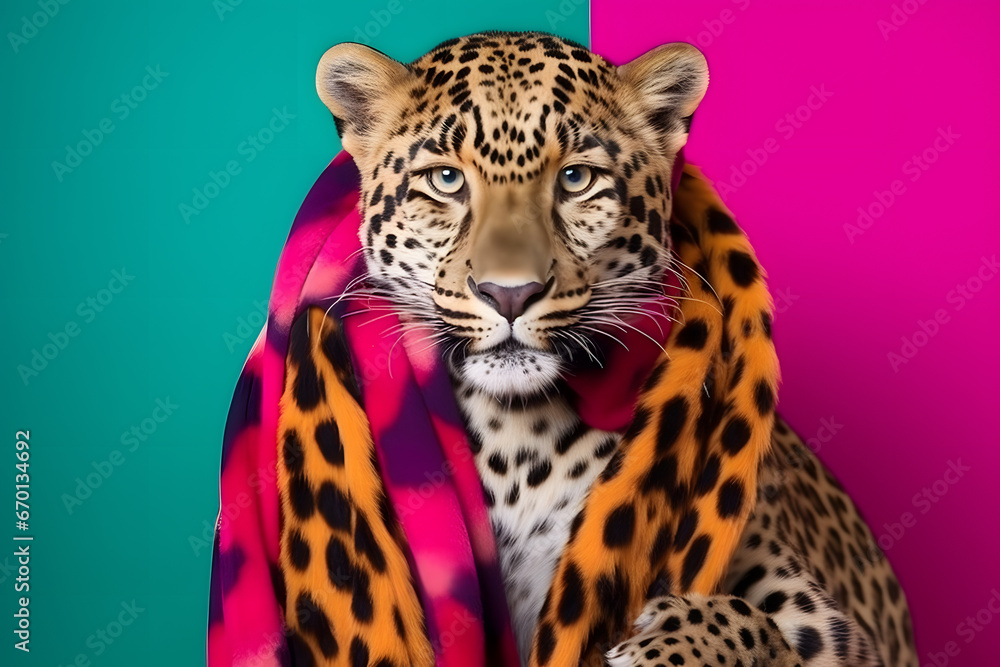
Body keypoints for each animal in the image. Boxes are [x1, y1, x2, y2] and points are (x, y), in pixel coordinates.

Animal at [273, 30, 917, 666]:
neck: (518, 441)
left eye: (576, 179)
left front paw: (669, 640)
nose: (510, 293)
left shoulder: (835, 629)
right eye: (446, 180)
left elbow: (749, 623)